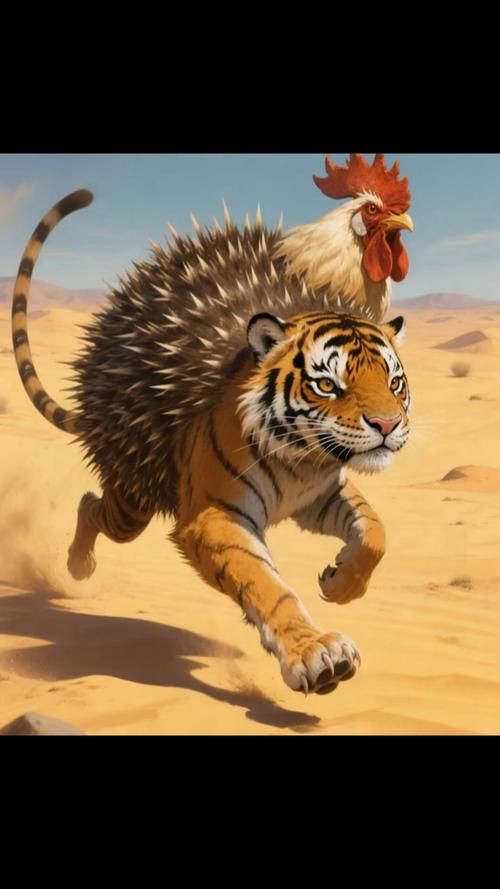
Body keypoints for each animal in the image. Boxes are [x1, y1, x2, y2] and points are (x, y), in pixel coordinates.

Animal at [12, 190, 410, 696]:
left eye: (395, 382)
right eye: (327, 384)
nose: (387, 425)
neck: (303, 456)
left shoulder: (319, 495)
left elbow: (375, 532)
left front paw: (341, 583)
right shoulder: (214, 515)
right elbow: (265, 584)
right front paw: (314, 653)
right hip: (134, 493)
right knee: (93, 507)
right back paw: (78, 566)